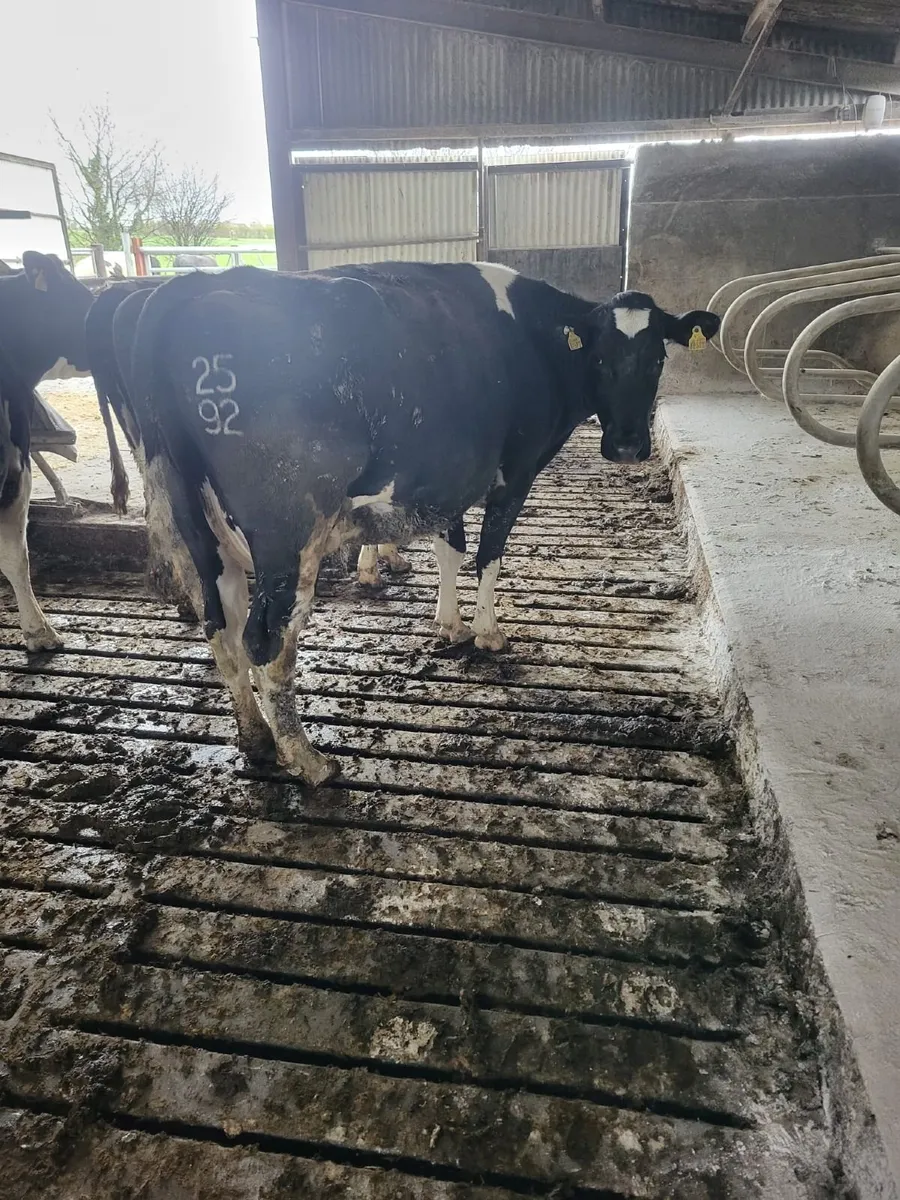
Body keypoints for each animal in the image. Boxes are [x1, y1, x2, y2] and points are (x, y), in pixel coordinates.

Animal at [115, 261, 718, 785]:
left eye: (658, 358)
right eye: (599, 359)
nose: (628, 445)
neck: (535, 340)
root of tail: (185, 286)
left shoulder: (448, 477)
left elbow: (451, 547)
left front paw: (448, 622)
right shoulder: (516, 471)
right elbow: (489, 553)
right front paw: (487, 631)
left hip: (196, 529)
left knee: (221, 628)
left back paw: (256, 739)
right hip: (291, 532)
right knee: (267, 641)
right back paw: (309, 762)